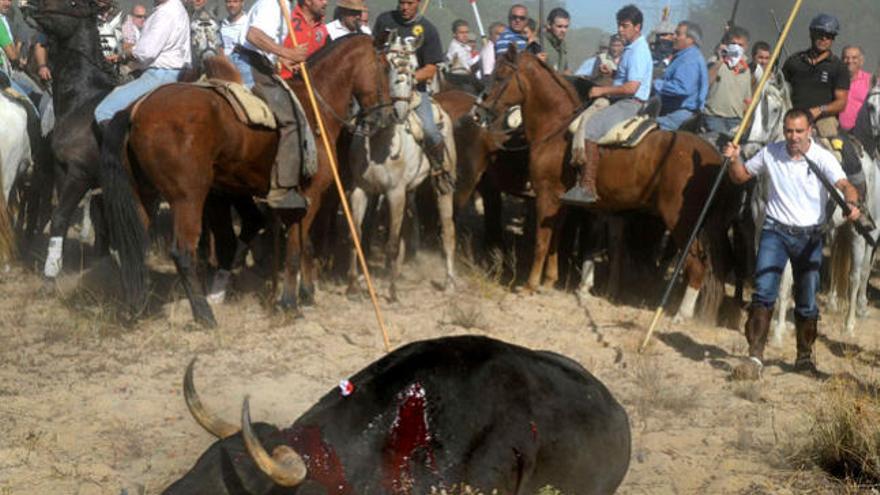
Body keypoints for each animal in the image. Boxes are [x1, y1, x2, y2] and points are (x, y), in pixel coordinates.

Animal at [98, 34, 394, 326]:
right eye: (384, 67)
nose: (387, 116)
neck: (314, 109)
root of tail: (136, 111)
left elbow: (303, 245)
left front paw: (307, 293)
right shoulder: (309, 196)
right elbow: (295, 250)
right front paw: (289, 303)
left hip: (144, 195)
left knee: (134, 244)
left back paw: (137, 308)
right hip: (188, 198)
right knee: (183, 251)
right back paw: (204, 315)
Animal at [344, 32, 458, 302]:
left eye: (414, 68)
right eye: (389, 65)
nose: (399, 111)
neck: (379, 141)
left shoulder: (394, 193)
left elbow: (392, 243)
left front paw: (392, 292)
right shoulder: (361, 190)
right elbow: (356, 235)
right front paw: (353, 285)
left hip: (442, 186)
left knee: (448, 229)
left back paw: (449, 281)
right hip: (410, 191)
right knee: (408, 228)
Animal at [474, 50, 736, 322]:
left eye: (500, 75)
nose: (479, 111)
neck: (556, 128)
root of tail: (717, 158)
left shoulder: (546, 196)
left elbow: (542, 242)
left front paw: (530, 285)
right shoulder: (561, 203)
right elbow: (555, 240)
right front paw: (549, 281)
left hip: (682, 223)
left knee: (696, 265)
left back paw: (680, 315)